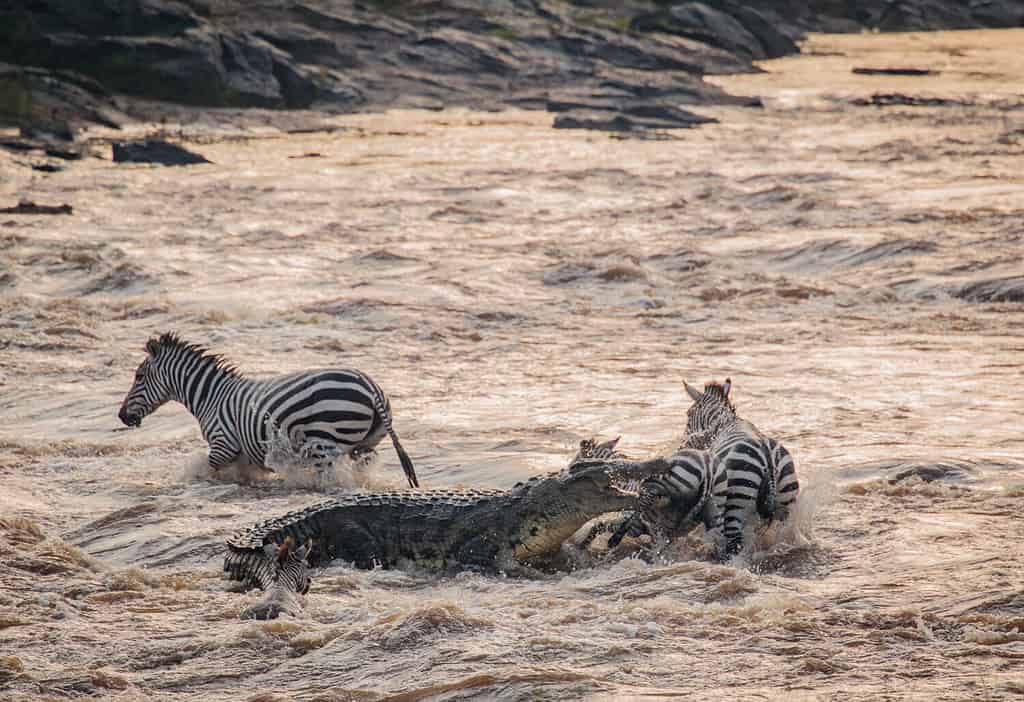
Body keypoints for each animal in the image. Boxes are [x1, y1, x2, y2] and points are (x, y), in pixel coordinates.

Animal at [118, 332, 419, 487]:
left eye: (138, 377)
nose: (122, 416)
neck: (210, 396)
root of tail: (369, 386)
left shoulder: (222, 444)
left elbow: (206, 470)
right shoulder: (246, 457)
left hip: (325, 443)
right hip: (365, 446)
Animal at [681, 378, 799, 555]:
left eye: (688, 414)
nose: (683, 445)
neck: (723, 424)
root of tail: (768, 458)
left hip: (736, 502)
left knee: (734, 545)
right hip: (785, 503)